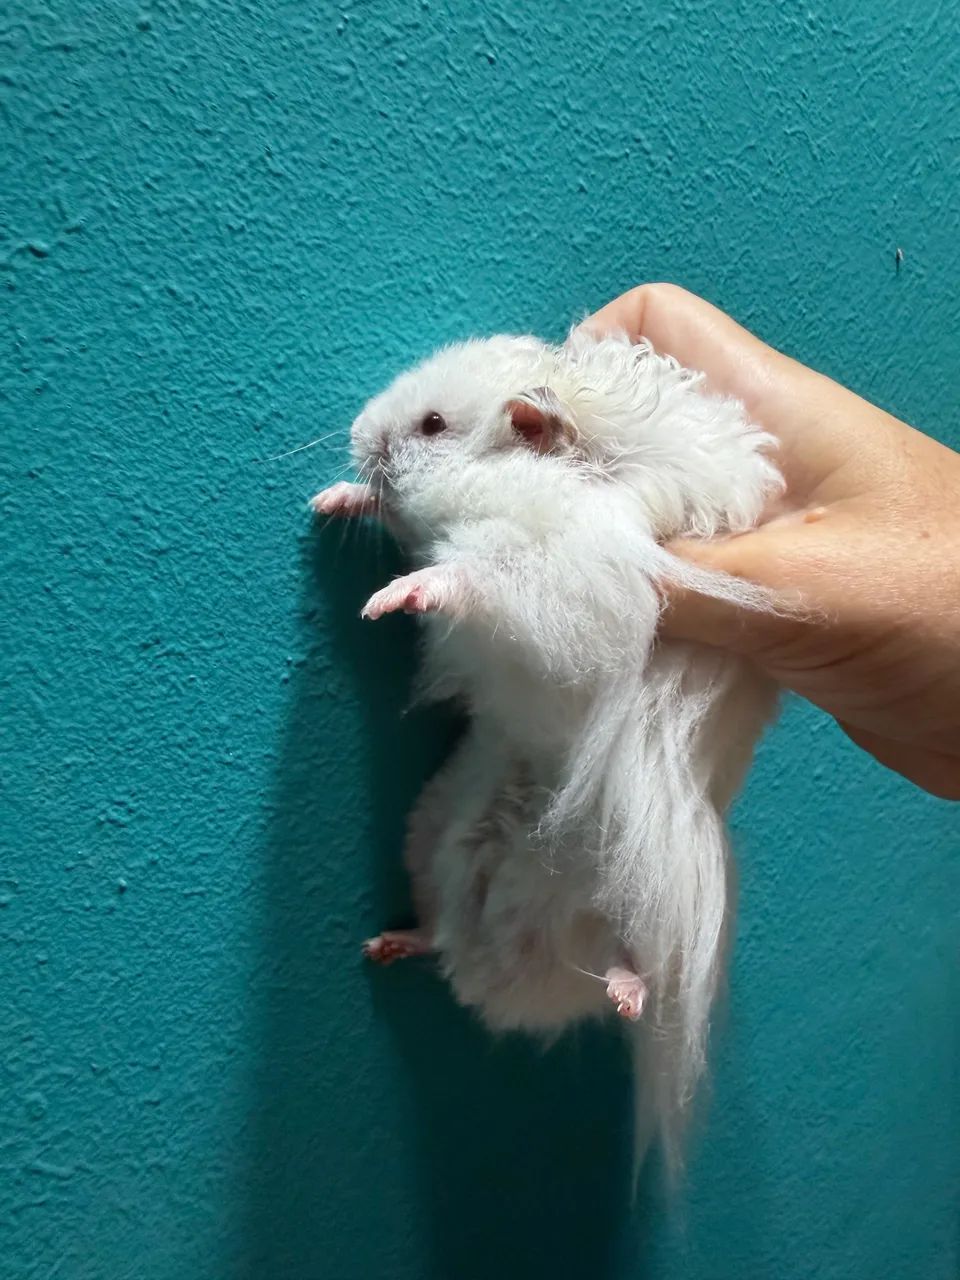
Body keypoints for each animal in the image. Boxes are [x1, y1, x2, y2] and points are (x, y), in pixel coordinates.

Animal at [311, 327, 783, 1171]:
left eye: (434, 424)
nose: (359, 433)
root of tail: (501, 966)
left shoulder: (553, 574)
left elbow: (466, 575)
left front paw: (386, 601)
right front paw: (331, 499)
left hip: (648, 883)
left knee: (637, 964)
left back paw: (624, 993)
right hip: (433, 834)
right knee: (436, 931)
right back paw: (385, 947)